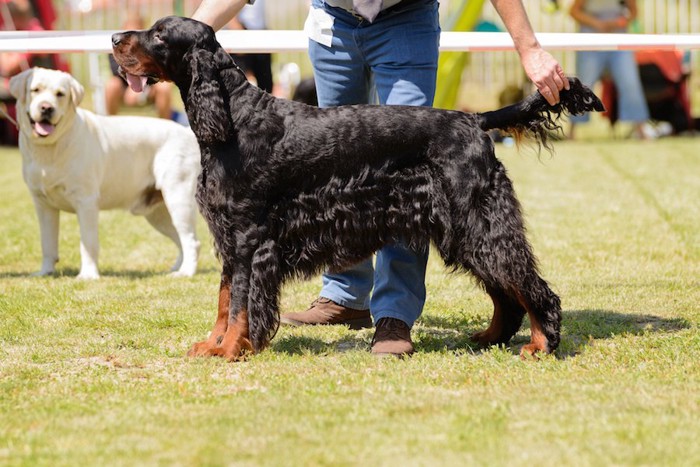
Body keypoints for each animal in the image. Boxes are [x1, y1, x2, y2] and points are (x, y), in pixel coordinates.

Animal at [9, 67, 201, 280]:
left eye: (60, 94)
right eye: (35, 90)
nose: (46, 108)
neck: (49, 148)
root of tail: (186, 132)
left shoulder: (86, 202)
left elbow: (88, 243)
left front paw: (88, 275)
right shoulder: (43, 205)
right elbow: (47, 243)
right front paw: (45, 272)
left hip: (178, 198)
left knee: (191, 240)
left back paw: (186, 272)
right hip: (157, 213)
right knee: (180, 239)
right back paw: (176, 268)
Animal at [112, 16, 604, 362]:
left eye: (159, 35)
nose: (115, 38)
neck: (235, 118)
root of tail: (474, 120)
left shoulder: (251, 237)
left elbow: (239, 304)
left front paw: (231, 349)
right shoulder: (229, 237)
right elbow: (224, 297)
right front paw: (213, 344)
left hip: (479, 224)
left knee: (530, 286)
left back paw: (542, 344)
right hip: (463, 231)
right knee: (506, 292)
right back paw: (490, 337)